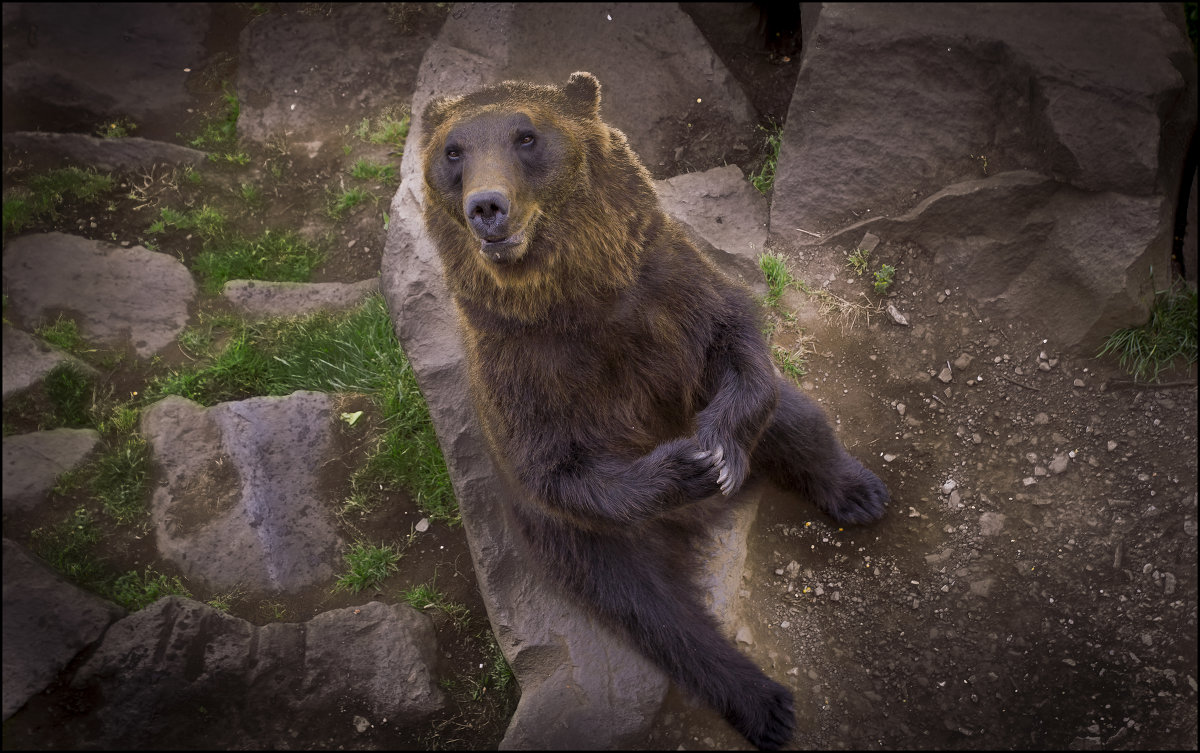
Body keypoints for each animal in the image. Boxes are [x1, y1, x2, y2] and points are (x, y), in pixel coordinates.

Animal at [417, 71, 888, 753]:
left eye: (526, 136)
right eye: (453, 152)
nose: (487, 206)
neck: (574, 296)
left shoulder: (666, 283)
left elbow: (735, 335)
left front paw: (717, 450)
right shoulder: (517, 366)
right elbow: (555, 467)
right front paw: (686, 467)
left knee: (793, 416)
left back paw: (857, 492)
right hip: (586, 543)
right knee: (654, 613)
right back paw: (764, 702)